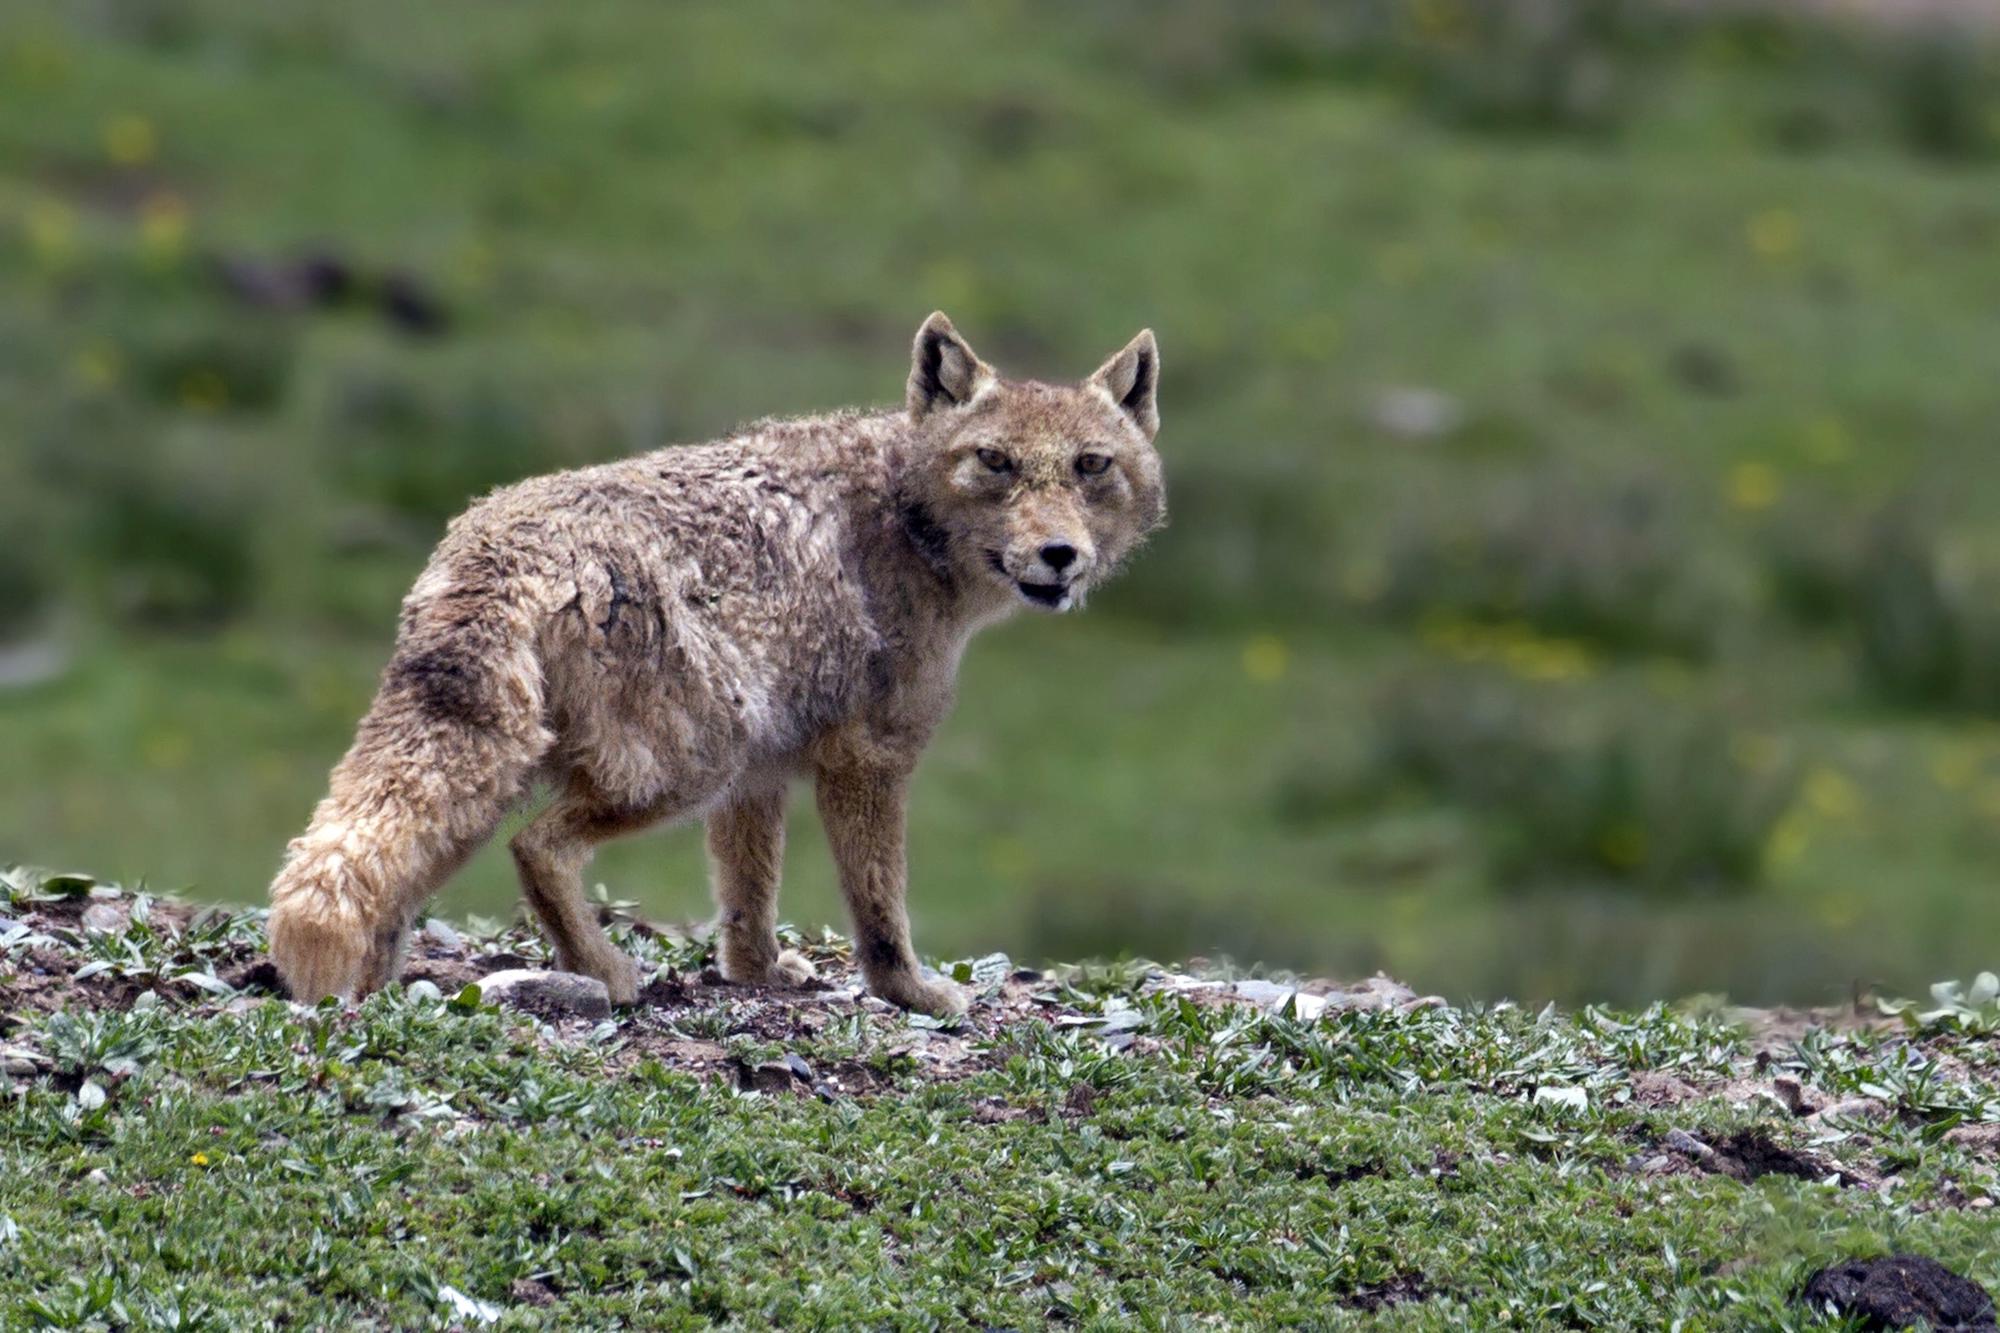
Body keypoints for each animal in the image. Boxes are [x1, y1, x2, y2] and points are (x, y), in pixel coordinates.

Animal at [270, 312, 1168, 1012]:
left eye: (1091, 465)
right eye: (996, 462)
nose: (1060, 555)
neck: (903, 515)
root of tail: (493, 545)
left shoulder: (762, 775)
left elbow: (748, 901)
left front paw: (759, 977)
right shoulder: (866, 761)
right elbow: (880, 909)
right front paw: (912, 992)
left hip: (525, 777)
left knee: (389, 879)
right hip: (685, 764)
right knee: (537, 848)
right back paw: (604, 972)